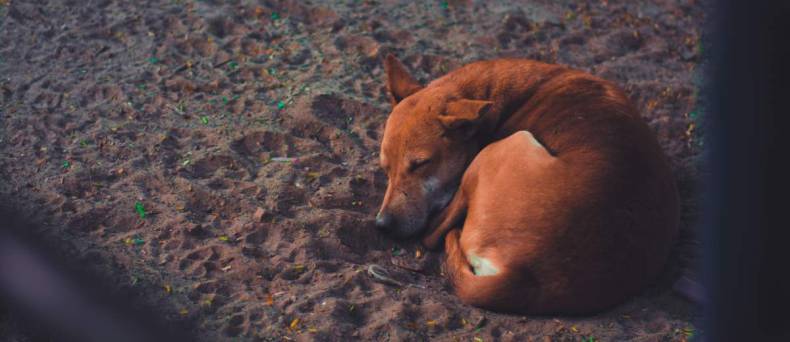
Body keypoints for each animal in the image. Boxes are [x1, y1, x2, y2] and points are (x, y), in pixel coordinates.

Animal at [378, 54, 680, 314]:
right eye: (385, 168)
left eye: (421, 164)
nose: (382, 225)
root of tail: (529, 278)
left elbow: (431, 233)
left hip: (504, 147)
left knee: (433, 233)